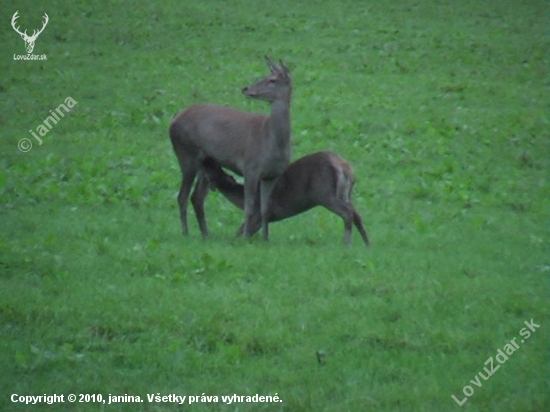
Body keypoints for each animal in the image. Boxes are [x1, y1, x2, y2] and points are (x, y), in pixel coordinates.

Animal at [170, 56, 294, 240]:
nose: (246, 88)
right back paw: (186, 233)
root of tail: (173, 121)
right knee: (182, 196)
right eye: (265, 76)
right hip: (185, 153)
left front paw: (265, 239)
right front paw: (245, 238)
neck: (272, 142)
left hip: (206, 163)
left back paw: (206, 234)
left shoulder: (272, 175)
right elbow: (249, 207)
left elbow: (265, 209)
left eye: (272, 79)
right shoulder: (250, 168)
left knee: (196, 197)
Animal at [205, 152, 374, 246]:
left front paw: (237, 242)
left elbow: (241, 231)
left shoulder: (258, 213)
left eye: (213, 168)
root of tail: (345, 168)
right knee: (357, 214)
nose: (207, 159)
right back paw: (367, 243)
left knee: (347, 213)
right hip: (345, 194)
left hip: (325, 194)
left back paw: (347, 243)